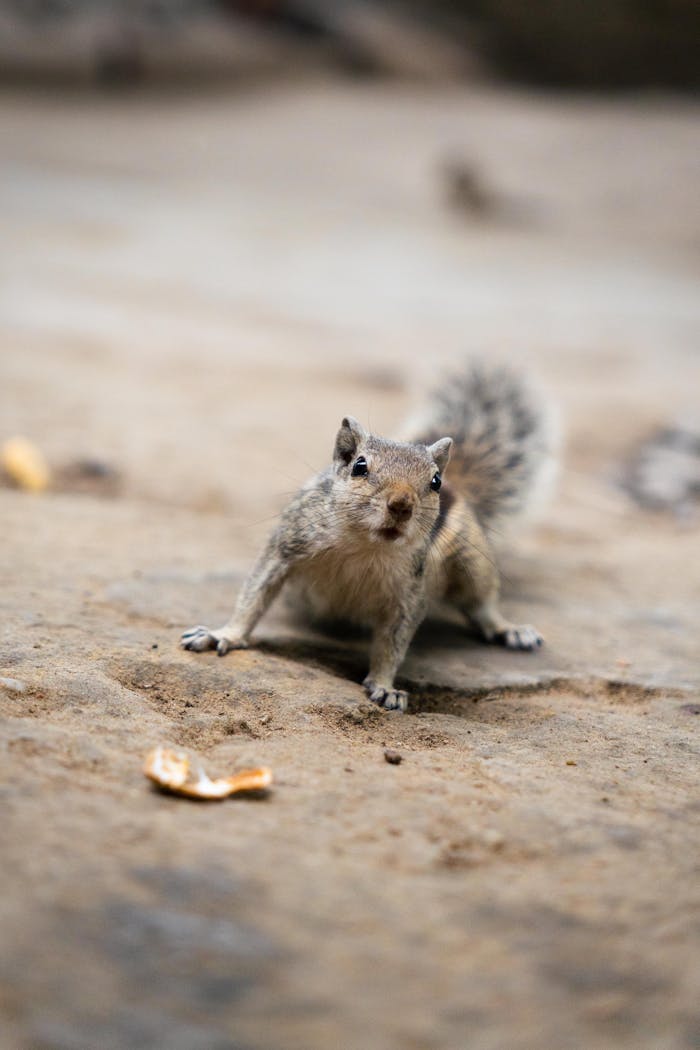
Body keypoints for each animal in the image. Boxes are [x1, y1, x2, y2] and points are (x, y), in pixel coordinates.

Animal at [181, 362, 557, 713]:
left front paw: (385, 686)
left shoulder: (411, 591)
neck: (366, 545)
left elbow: (393, 642)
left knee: (481, 604)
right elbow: (254, 596)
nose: (402, 504)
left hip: (472, 561)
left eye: (434, 481)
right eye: (360, 466)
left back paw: (510, 630)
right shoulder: (286, 547)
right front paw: (223, 634)